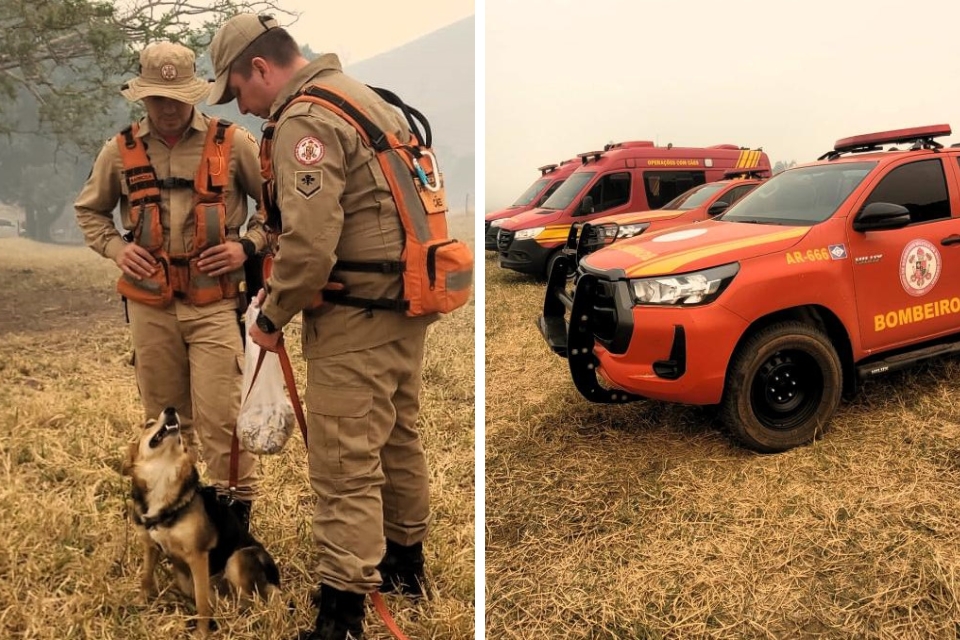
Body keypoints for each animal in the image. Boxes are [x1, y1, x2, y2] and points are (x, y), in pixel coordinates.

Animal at [122, 410, 280, 636]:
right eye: (148, 424)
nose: (171, 409)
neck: (162, 479)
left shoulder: (197, 556)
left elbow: (202, 603)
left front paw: (202, 633)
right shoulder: (150, 545)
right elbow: (146, 576)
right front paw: (140, 602)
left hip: (238, 559)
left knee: (254, 603)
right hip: (188, 578)